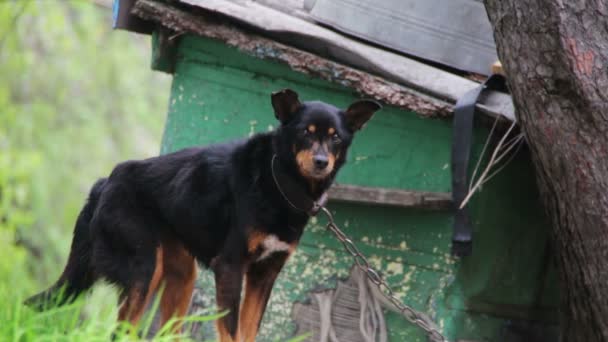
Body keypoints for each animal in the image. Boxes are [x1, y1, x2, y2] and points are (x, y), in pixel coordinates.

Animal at [27, 89, 380, 342]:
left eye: (335, 137)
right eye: (306, 132)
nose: (321, 162)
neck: (278, 181)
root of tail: (105, 183)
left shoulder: (265, 273)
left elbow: (248, 332)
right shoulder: (230, 267)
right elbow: (231, 332)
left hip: (182, 276)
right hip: (143, 269)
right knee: (121, 332)